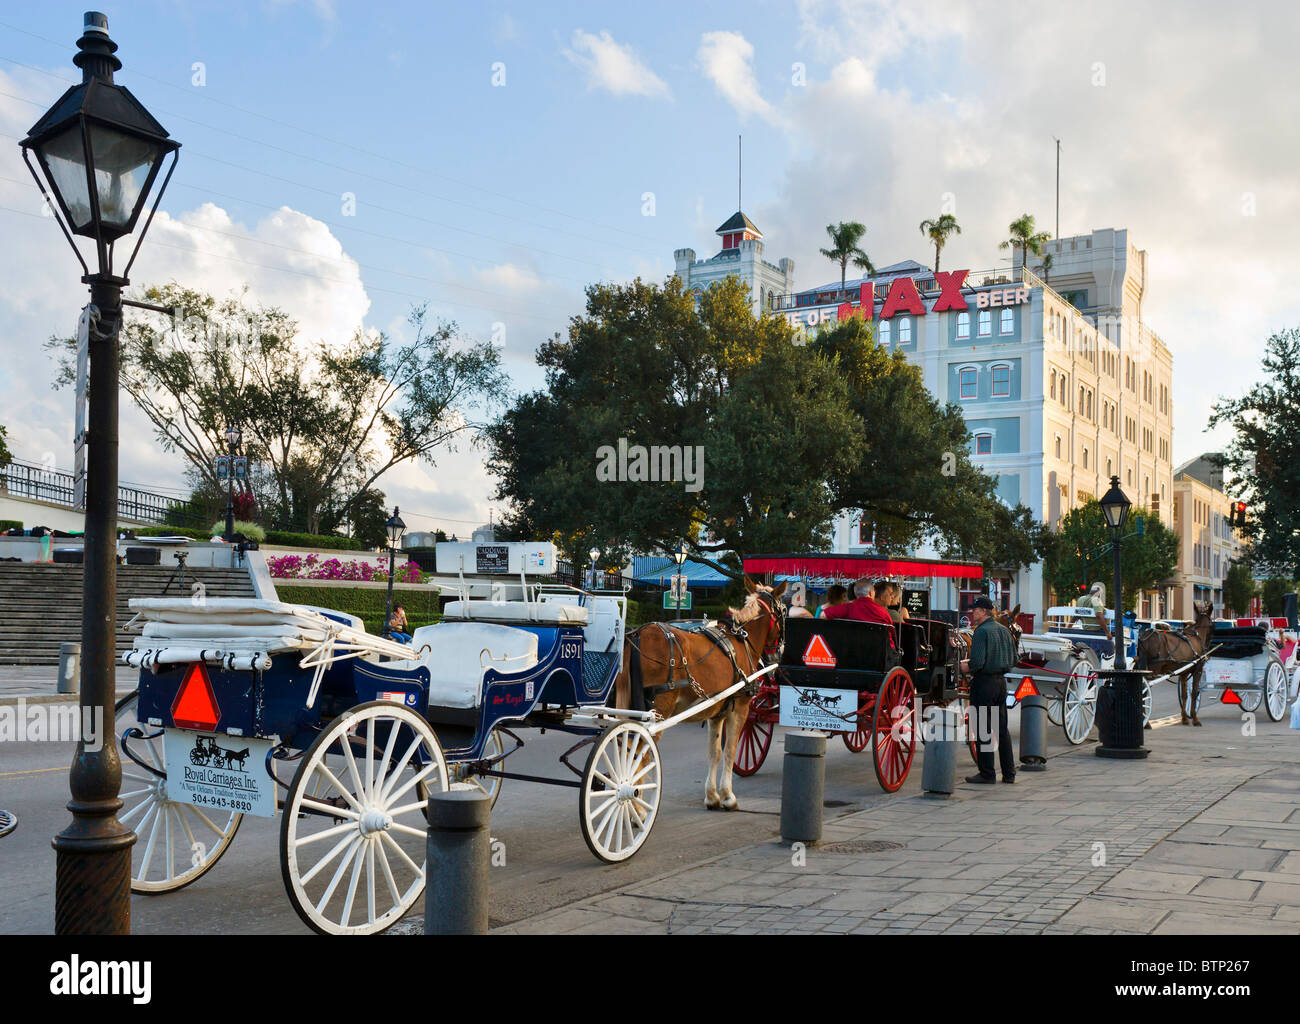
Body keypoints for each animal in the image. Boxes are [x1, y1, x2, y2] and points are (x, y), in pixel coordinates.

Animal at [608, 576, 780, 805]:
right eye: (784, 610)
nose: (778, 652)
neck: (741, 638)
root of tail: (637, 635)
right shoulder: (740, 708)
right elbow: (731, 750)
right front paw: (727, 796)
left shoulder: (717, 713)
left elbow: (714, 752)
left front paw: (712, 796)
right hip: (656, 714)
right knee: (639, 758)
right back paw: (638, 806)